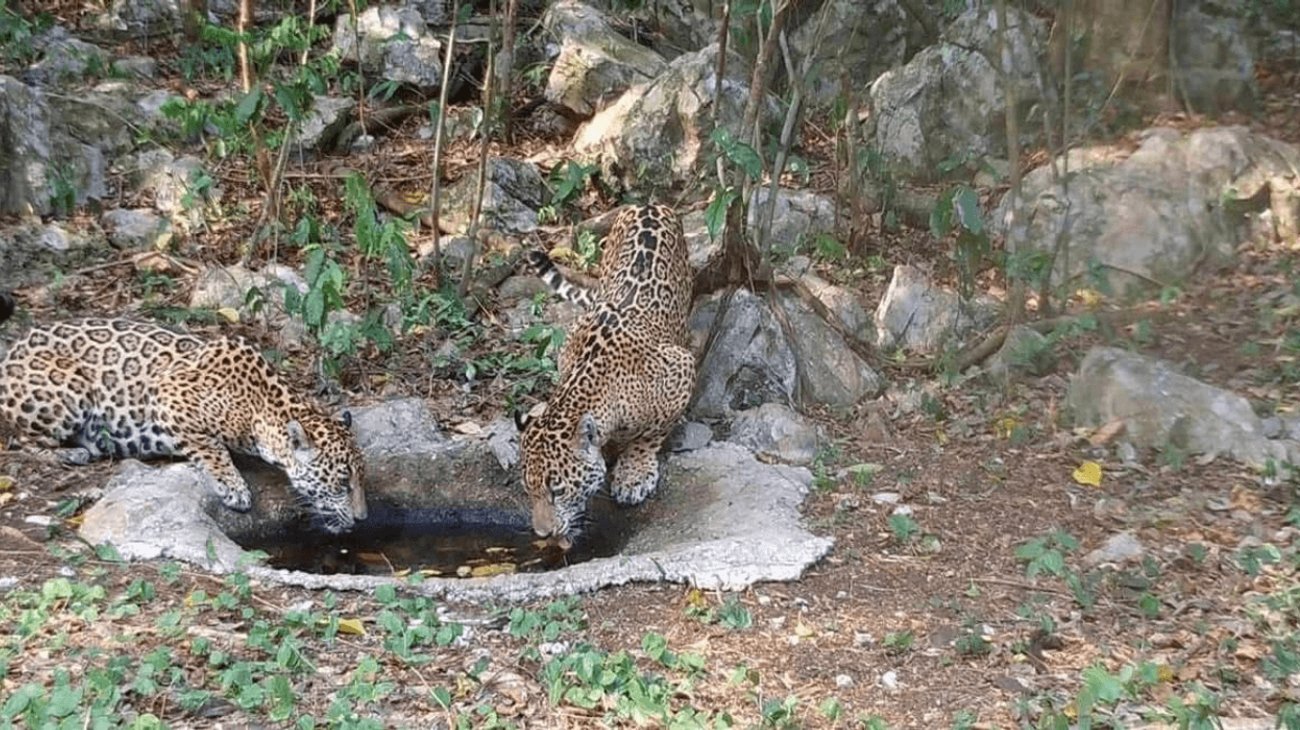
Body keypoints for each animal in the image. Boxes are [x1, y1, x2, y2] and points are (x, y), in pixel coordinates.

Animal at [0, 293, 368, 534]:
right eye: (342, 483)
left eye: (362, 479)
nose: (363, 518)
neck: (260, 406)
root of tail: (13, 349)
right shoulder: (167, 394)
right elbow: (212, 447)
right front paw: (234, 487)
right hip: (69, 389)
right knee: (18, 439)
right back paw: (72, 452)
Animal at [514, 204, 696, 550]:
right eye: (528, 491)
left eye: (557, 490)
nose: (543, 533)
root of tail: (648, 204)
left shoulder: (681, 368)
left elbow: (651, 433)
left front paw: (633, 474)